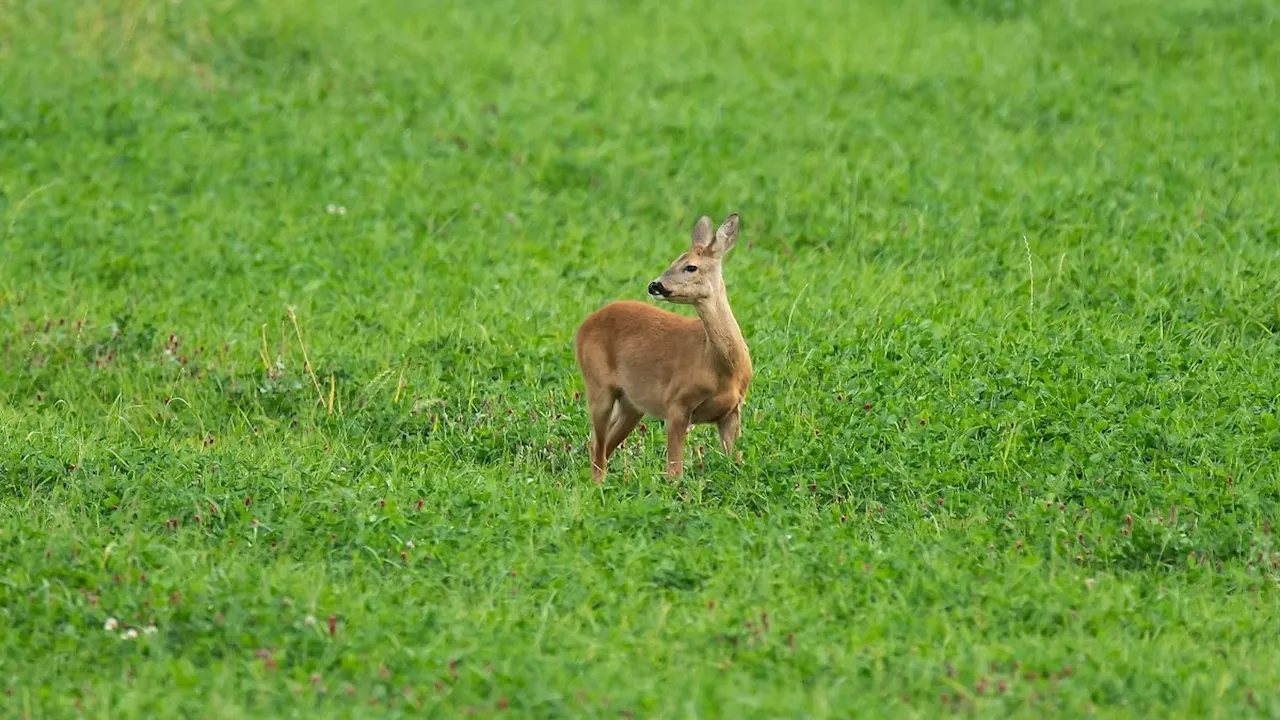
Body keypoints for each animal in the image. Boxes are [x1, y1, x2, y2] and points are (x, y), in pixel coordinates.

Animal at [573, 212, 747, 481]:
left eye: (690, 266)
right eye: (673, 261)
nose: (655, 285)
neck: (720, 367)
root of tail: (584, 325)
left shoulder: (731, 411)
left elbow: (736, 461)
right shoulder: (677, 402)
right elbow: (674, 470)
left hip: (631, 404)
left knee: (602, 445)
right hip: (597, 384)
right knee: (597, 446)